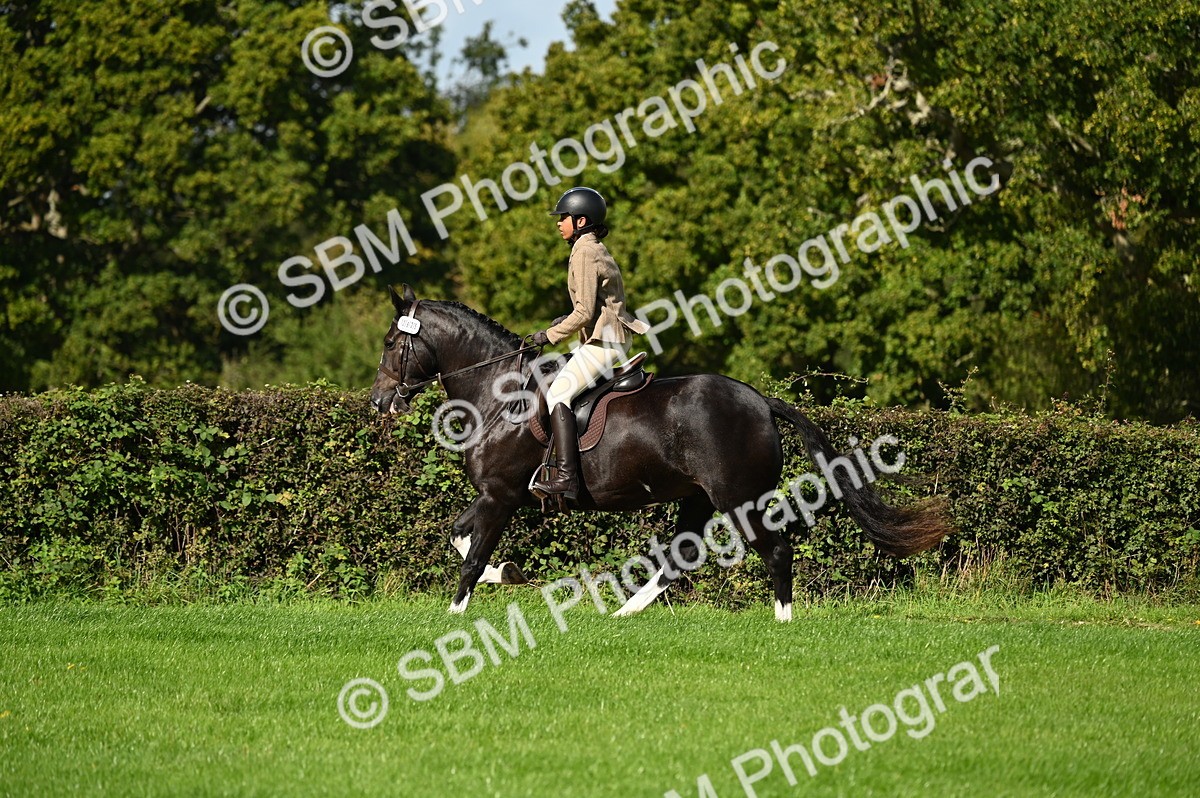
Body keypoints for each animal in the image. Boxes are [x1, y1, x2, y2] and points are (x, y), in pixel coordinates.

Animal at [370, 285, 952, 621]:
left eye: (389, 344)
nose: (378, 402)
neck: (499, 394)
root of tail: (759, 400)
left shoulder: (500, 495)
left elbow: (471, 557)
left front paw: (454, 617)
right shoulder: (496, 495)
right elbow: (458, 536)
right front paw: (508, 573)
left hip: (738, 497)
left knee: (775, 551)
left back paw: (782, 623)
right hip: (697, 498)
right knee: (679, 558)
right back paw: (624, 614)